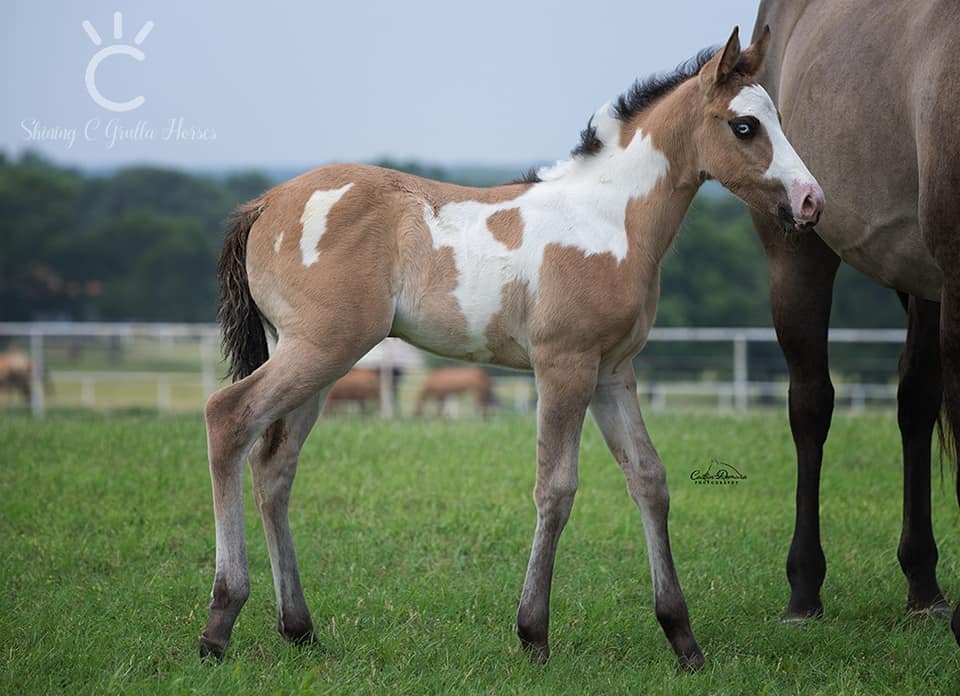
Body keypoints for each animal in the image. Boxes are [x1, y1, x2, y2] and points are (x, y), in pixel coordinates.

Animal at [199, 27, 820, 668]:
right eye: (744, 126)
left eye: (777, 119)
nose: (810, 202)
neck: (609, 221)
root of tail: (266, 203)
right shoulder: (564, 366)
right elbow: (556, 488)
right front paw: (533, 632)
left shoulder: (613, 372)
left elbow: (649, 480)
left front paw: (683, 638)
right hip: (322, 349)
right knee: (228, 417)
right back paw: (220, 621)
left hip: (315, 361)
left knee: (274, 466)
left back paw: (298, 627)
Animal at [752, 0, 960, 640]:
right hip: (798, 248)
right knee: (810, 404)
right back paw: (803, 590)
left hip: (925, 283)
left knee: (915, 401)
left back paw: (924, 585)